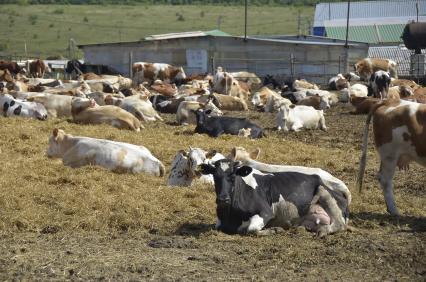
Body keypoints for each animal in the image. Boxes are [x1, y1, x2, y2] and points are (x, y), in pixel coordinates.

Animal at [200, 160, 350, 237]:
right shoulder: (220, 222)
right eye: (215, 176)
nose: (223, 199)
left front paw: (275, 230)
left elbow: (251, 229)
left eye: (233, 176)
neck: (231, 215)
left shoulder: (266, 212)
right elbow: (219, 227)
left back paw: (322, 231)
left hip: (324, 192)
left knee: (339, 224)